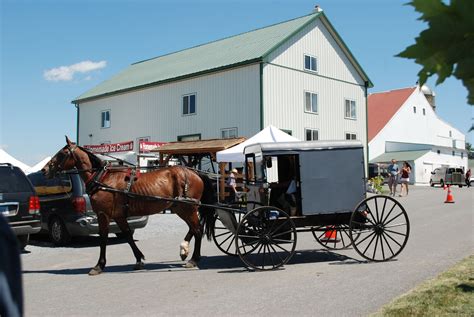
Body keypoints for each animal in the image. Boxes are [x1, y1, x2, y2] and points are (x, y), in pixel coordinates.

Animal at [41, 136, 216, 274]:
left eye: (63, 153)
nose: (44, 170)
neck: (103, 179)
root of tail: (195, 173)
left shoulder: (103, 215)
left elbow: (103, 238)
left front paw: (99, 265)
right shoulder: (118, 216)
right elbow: (128, 237)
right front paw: (139, 259)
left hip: (187, 208)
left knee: (197, 230)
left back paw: (193, 259)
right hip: (180, 208)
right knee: (193, 229)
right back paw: (184, 250)